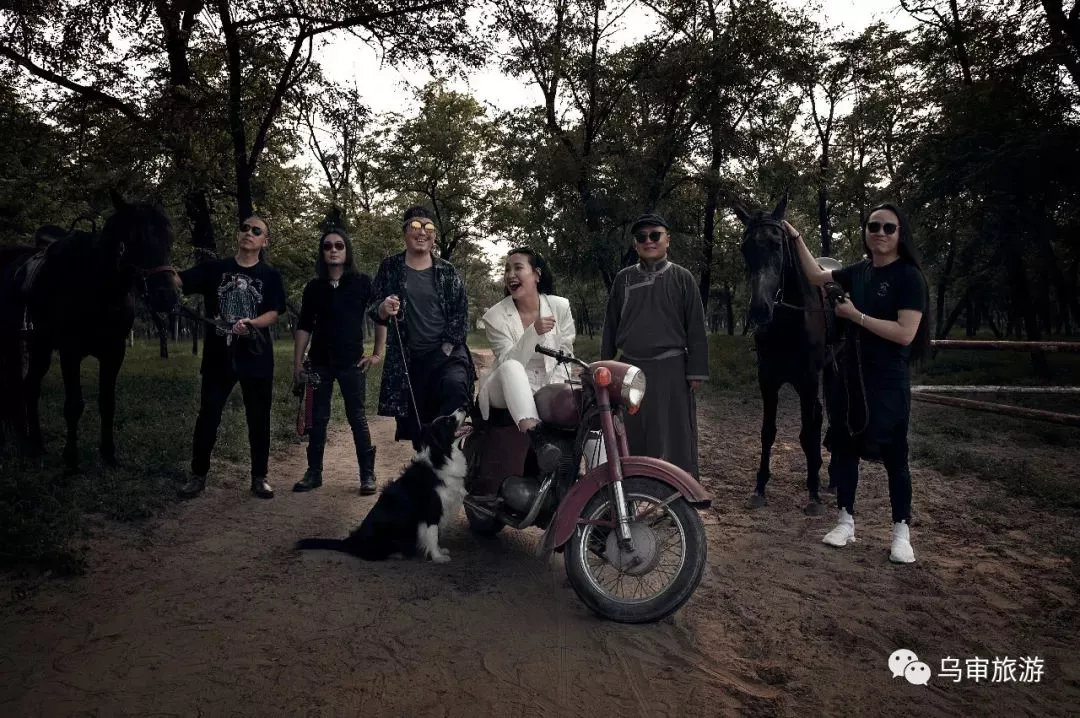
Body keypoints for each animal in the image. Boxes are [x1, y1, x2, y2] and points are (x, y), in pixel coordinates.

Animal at [0, 191, 178, 471]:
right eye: (134, 238)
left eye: (169, 238)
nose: (167, 297)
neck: (97, 286)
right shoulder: (70, 352)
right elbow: (74, 405)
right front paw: (71, 460)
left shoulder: (114, 352)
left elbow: (107, 403)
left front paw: (108, 455)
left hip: (39, 347)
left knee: (29, 387)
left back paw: (35, 444)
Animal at [296, 408, 472, 563]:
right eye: (449, 421)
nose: (463, 407)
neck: (443, 456)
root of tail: (351, 542)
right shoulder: (432, 510)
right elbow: (433, 536)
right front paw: (438, 557)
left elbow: (433, 537)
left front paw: (440, 551)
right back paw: (397, 554)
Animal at [733, 194, 836, 516]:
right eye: (745, 248)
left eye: (777, 244)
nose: (759, 310)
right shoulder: (768, 380)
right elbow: (768, 431)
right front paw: (759, 487)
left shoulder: (807, 380)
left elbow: (807, 433)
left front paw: (813, 493)